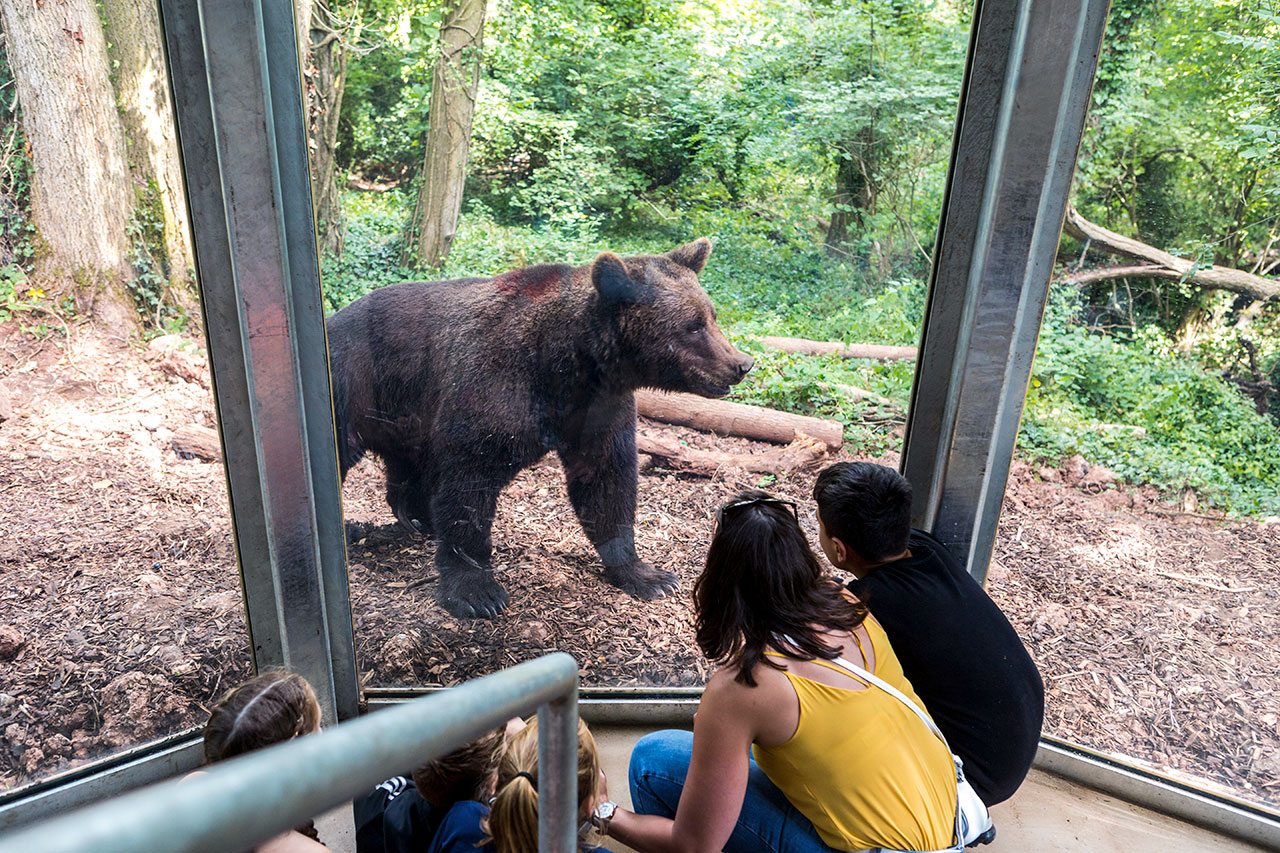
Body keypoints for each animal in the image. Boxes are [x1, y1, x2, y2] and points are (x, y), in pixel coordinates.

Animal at [325, 235, 752, 614]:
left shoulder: (597, 408)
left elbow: (606, 479)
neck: (568, 366)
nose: (742, 363)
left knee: (410, 462)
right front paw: (477, 591)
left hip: (405, 408)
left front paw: (647, 574)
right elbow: (468, 482)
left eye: (711, 315)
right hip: (355, 382)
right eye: (692, 325)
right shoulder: (495, 384)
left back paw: (416, 517)